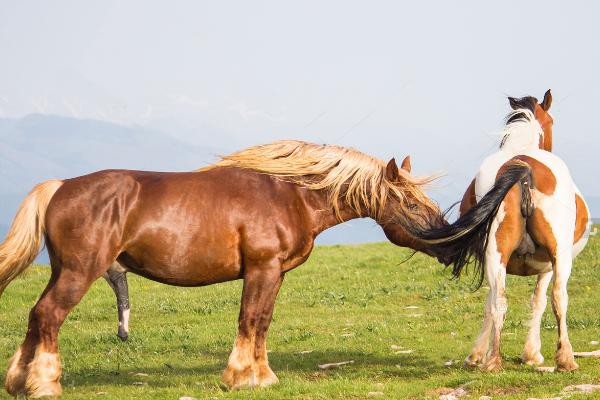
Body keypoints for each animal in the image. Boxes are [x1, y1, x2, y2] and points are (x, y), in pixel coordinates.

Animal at [1, 141, 454, 396]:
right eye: (411, 203)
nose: (449, 244)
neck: (290, 195)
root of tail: (61, 186)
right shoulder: (262, 270)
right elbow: (249, 319)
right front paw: (239, 377)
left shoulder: (276, 275)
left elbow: (263, 322)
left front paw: (263, 377)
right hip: (79, 273)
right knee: (49, 316)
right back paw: (45, 384)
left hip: (62, 271)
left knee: (35, 317)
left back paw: (20, 382)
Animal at [422, 90, 592, 372]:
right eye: (552, 122)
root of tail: (523, 167)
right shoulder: (546, 266)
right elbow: (539, 301)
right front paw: (532, 353)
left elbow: (494, 303)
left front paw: (479, 354)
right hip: (557, 257)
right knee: (558, 298)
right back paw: (564, 358)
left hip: (497, 255)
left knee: (499, 301)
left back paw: (493, 360)